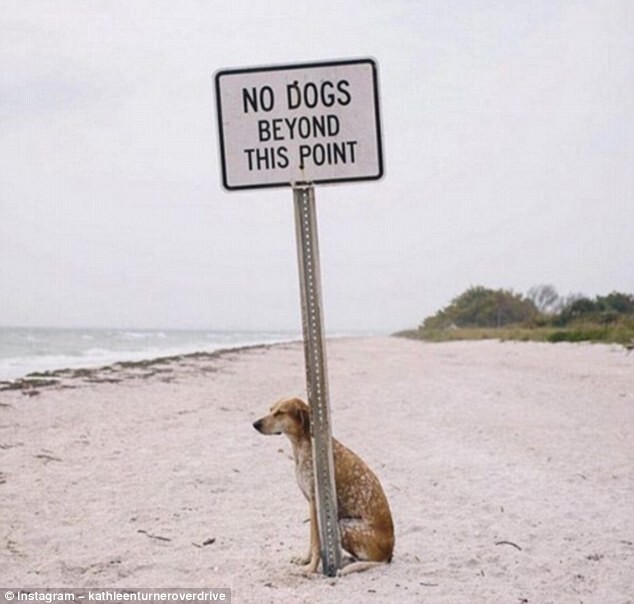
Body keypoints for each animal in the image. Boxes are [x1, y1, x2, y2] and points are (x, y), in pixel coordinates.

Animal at [251, 396, 390, 576]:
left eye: (280, 413)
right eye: (270, 409)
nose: (255, 424)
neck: (303, 445)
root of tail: (390, 551)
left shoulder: (314, 502)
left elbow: (316, 542)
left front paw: (311, 568)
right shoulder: (310, 503)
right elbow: (312, 540)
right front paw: (305, 560)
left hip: (344, 526)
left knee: (377, 562)